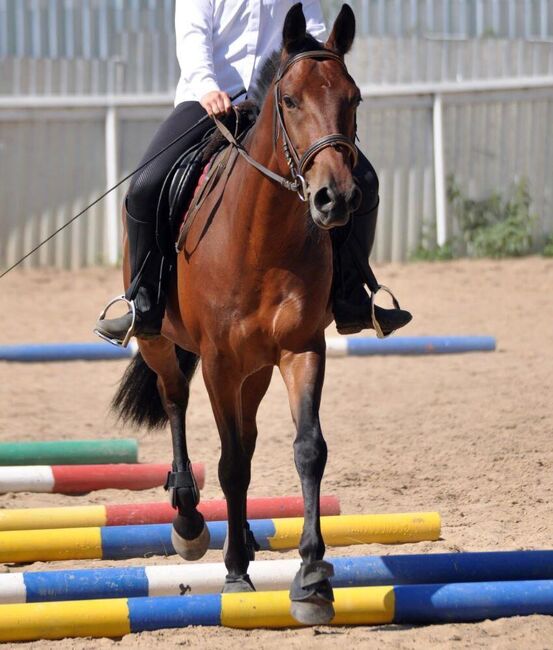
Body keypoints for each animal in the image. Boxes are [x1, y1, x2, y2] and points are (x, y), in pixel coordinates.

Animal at [114, 3, 360, 624]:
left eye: (353, 98)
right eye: (290, 100)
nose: (336, 198)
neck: (261, 238)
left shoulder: (300, 350)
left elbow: (307, 449)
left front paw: (312, 576)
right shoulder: (219, 363)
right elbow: (228, 465)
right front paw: (232, 573)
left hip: (256, 369)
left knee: (245, 437)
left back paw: (244, 536)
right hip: (163, 343)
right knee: (176, 402)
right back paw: (189, 520)